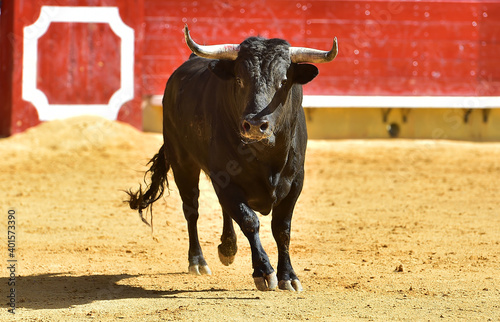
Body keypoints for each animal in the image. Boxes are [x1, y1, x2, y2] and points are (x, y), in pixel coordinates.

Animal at [127, 25, 338, 292]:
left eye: (283, 82)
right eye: (239, 79)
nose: (255, 125)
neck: (267, 157)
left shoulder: (295, 182)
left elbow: (282, 229)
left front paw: (288, 276)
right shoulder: (225, 179)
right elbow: (249, 221)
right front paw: (264, 272)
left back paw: (228, 247)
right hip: (183, 163)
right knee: (192, 210)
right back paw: (198, 262)